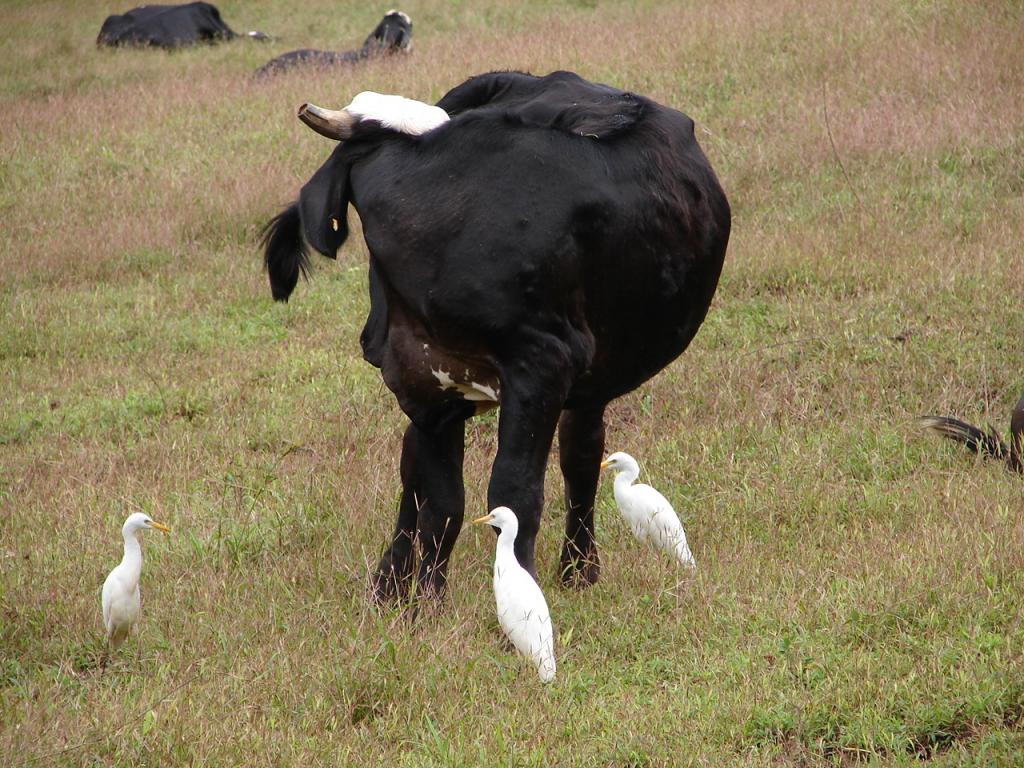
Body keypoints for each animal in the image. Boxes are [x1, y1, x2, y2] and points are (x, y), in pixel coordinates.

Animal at [260, 70, 733, 602]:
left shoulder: (542, 366)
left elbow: (514, 493)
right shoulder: (422, 381)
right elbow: (441, 501)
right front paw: (424, 604)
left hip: (590, 375)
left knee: (581, 456)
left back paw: (578, 570)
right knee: (417, 474)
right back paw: (389, 585)